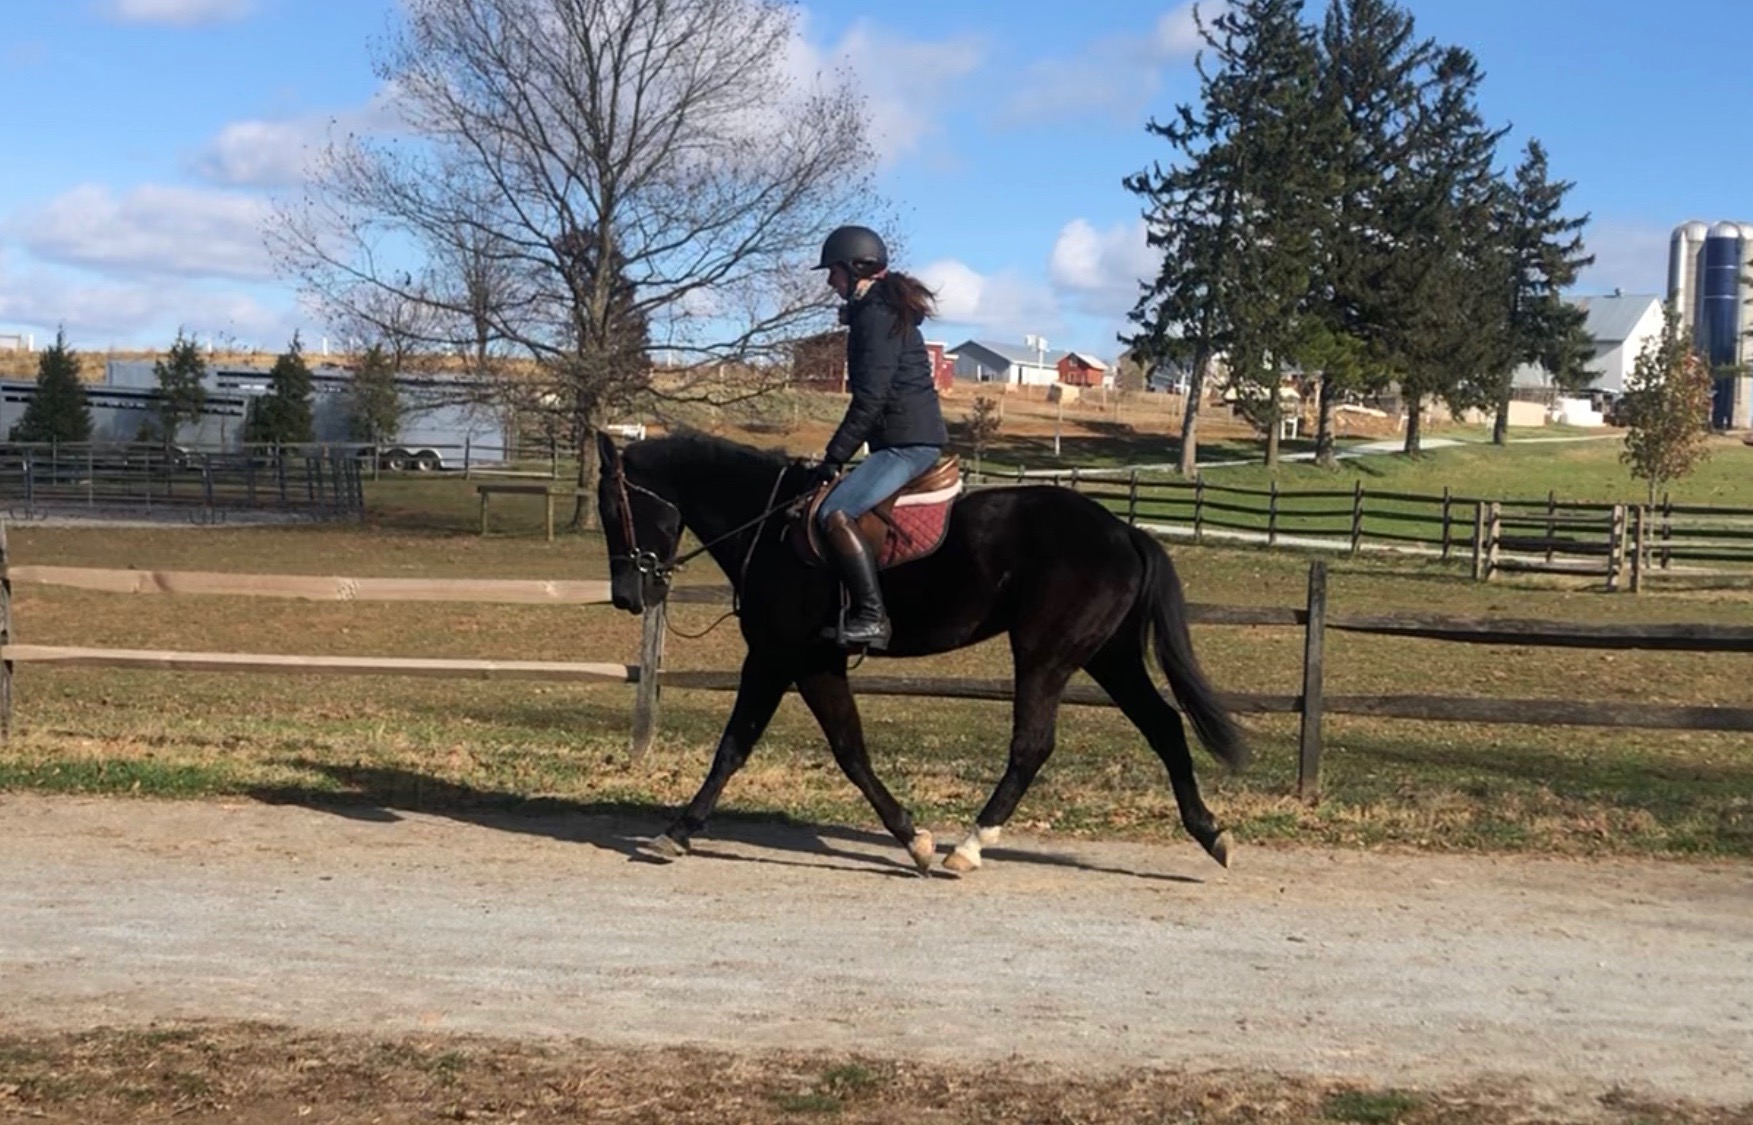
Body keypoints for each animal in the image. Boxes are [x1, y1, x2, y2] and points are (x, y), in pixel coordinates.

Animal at [595, 430, 1247, 875]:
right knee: (1163, 725)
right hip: (1106, 655)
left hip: (1046, 654)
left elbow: (795, 749)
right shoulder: (797, 662)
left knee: (1033, 745)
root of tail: (1124, 530)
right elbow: (796, 747)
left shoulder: (790, 659)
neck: (766, 526)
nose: (628, 596)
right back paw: (1210, 833)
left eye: (614, 510)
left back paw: (971, 845)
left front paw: (917, 839)